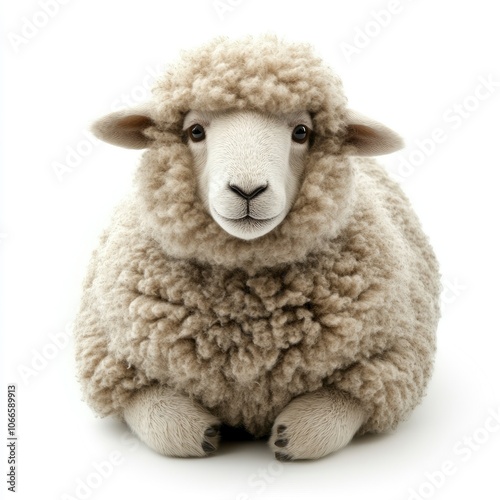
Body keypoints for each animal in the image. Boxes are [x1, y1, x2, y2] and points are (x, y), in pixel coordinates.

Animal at [72, 35, 440, 460]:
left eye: (302, 131)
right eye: (194, 131)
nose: (247, 191)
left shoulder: (395, 357)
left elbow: (347, 401)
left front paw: (296, 431)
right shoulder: (107, 355)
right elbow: (150, 408)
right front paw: (197, 429)